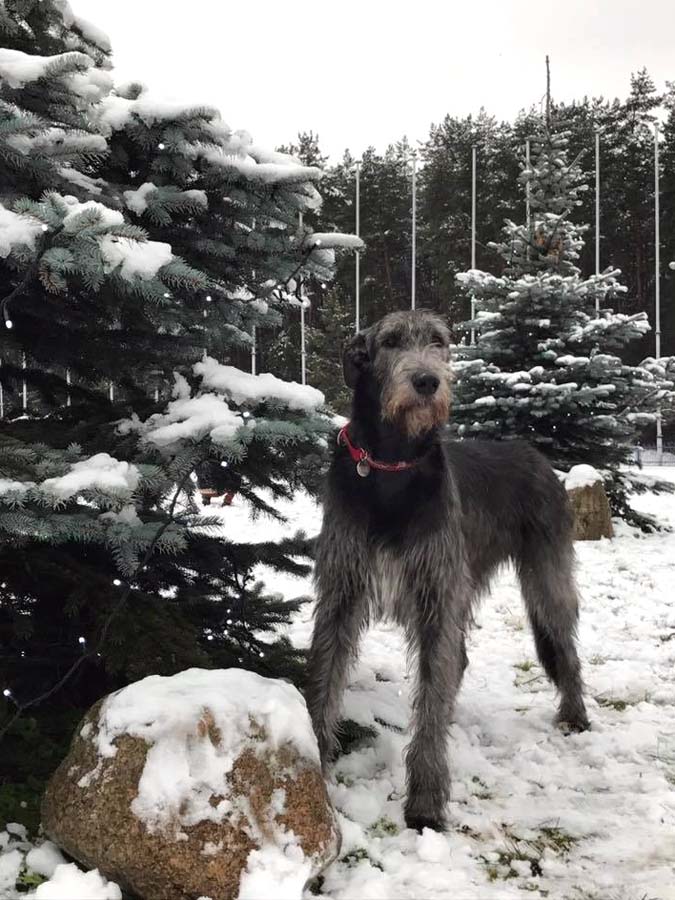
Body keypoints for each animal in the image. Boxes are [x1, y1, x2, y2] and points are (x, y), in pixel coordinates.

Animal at [306, 308, 592, 828]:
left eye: (439, 341)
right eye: (391, 341)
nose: (427, 381)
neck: (391, 467)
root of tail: (535, 453)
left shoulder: (436, 591)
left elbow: (432, 687)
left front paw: (424, 800)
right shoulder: (342, 588)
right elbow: (323, 679)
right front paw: (314, 764)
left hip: (545, 573)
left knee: (562, 641)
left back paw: (574, 713)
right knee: (456, 662)